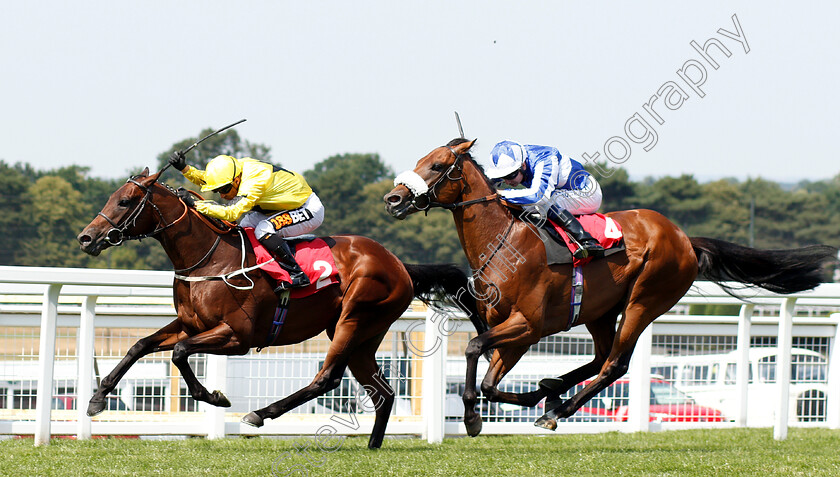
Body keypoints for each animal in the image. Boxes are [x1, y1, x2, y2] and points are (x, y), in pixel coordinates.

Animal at [78, 166, 480, 446]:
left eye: (125, 201)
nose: (86, 237)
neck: (210, 260)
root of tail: (399, 264)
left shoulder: (236, 337)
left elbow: (179, 353)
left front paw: (213, 396)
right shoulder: (191, 324)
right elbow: (140, 345)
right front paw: (97, 400)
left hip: (355, 318)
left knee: (327, 377)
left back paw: (260, 414)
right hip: (364, 335)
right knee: (383, 392)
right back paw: (372, 445)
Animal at [384, 139, 836, 436]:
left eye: (437, 165)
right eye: (421, 160)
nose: (394, 198)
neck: (505, 243)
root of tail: (685, 239)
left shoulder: (528, 325)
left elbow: (477, 353)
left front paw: (475, 418)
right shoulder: (511, 330)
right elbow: (491, 380)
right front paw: (523, 398)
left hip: (645, 300)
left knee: (615, 364)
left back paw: (557, 408)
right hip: (600, 311)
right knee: (601, 358)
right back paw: (552, 392)